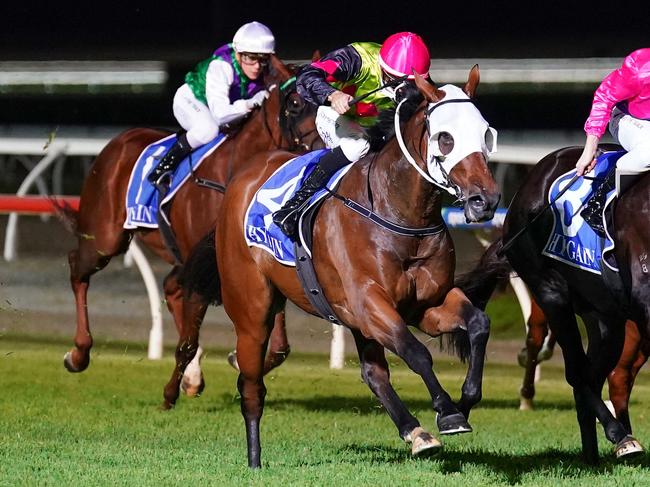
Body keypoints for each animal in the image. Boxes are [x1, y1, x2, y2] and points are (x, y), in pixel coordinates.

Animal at [57, 54, 320, 404]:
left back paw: (192, 377)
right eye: (295, 103)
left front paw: (237, 362)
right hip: (104, 237)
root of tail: (118, 141)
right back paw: (78, 354)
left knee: (170, 287)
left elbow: (278, 346)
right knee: (78, 266)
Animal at [206, 66, 496, 468]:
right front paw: (447, 411)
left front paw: (464, 402)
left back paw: (414, 431)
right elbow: (416, 352)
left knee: (373, 374)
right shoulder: (369, 303)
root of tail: (243, 177)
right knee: (250, 382)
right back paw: (254, 459)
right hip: (252, 309)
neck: (398, 211)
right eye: (446, 138)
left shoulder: (425, 305)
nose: (486, 201)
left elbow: (478, 324)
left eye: (486, 133)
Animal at [456, 144, 648, 462]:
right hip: (551, 293)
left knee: (593, 376)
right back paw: (620, 437)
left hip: (605, 318)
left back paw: (595, 454)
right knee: (578, 373)